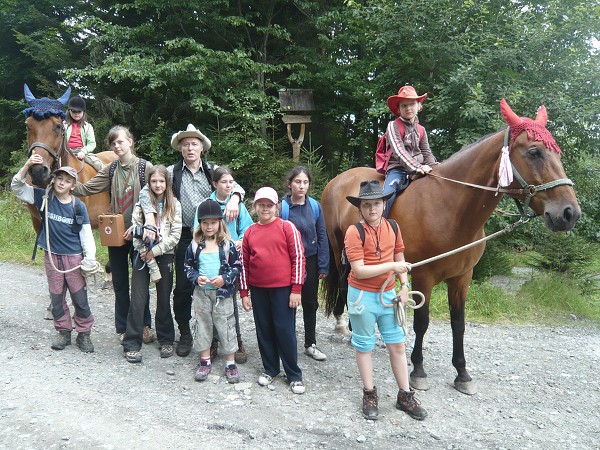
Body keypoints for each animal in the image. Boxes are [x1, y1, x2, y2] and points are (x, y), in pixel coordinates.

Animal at [324, 99, 580, 394]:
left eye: (557, 152)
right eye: (534, 152)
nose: (569, 213)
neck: (449, 207)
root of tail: (339, 180)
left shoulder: (462, 277)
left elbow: (458, 324)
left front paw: (462, 373)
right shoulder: (423, 275)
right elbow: (422, 322)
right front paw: (418, 371)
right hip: (339, 252)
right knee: (345, 286)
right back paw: (345, 327)